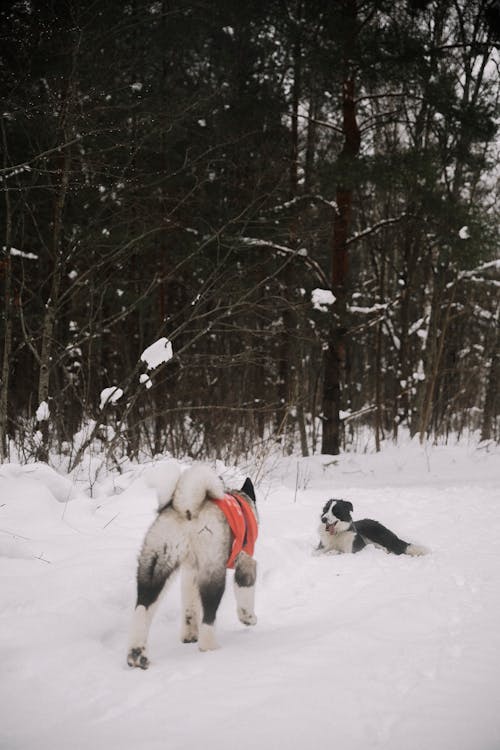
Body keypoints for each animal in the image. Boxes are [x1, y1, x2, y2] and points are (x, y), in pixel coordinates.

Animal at [127, 464, 258, 668]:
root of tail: (187, 507)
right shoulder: (246, 562)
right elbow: (246, 593)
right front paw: (248, 618)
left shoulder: (190, 572)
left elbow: (190, 606)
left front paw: (189, 635)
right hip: (213, 570)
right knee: (209, 613)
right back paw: (210, 646)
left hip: (155, 565)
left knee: (142, 606)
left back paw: (136, 654)